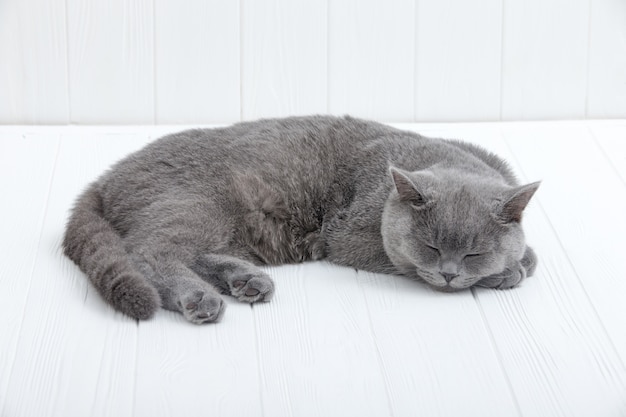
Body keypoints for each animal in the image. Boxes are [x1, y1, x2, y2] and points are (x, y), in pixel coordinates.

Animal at [66, 115, 540, 324]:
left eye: (473, 252)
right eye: (431, 247)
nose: (448, 274)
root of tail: (105, 178)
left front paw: (522, 258)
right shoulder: (352, 237)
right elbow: (403, 263)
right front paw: (508, 271)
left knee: (190, 252)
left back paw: (245, 280)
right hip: (194, 205)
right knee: (149, 253)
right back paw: (199, 298)